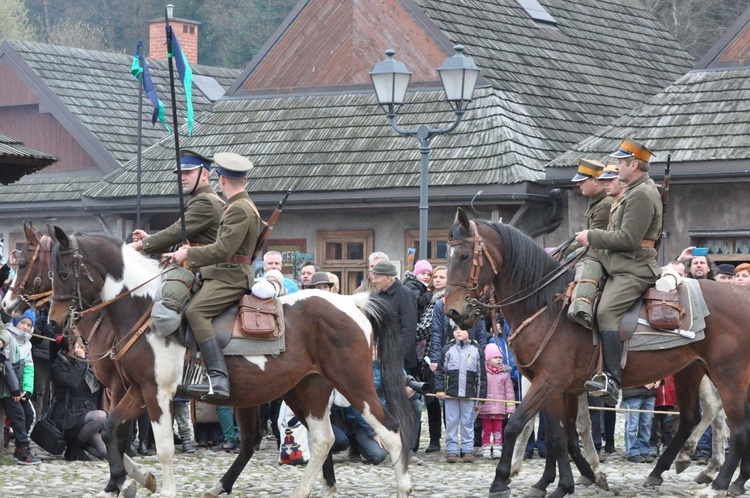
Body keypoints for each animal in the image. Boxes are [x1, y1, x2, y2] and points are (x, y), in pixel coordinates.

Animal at [45, 227, 418, 498]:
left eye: (62, 273)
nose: (53, 321)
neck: (144, 308)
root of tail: (352, 303)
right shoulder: (137, 390)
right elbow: (110, 430)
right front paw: (128, 481)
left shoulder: (157, 392)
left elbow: (163, 447)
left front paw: (155, 487)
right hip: (306, 389)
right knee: (322, 438)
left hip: (353, 383)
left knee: (391, 431)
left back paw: (402, 487)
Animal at [444, 209, 750, 498]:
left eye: (463, 255)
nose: (453, 312)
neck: (544, 306)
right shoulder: (556, 387)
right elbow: (559, 436)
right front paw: (557, 482)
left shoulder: (548, 383)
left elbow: (518, 425)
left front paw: (502, 480)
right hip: (691, 370)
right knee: (692, 418)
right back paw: (693, 474)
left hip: (727, 376)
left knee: (736, 427)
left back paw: (719, 484)